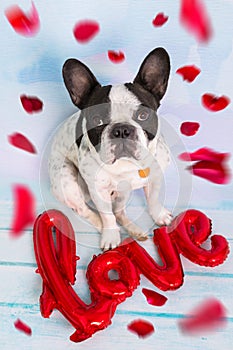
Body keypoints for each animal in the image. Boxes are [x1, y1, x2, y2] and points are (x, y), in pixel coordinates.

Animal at [49, 47, 172, 250]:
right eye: (97, 120)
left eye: (143, 115)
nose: (121, 130)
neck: (125, 165)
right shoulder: (98, 191)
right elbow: (107, 216)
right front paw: (110, 236)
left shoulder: (155, 177)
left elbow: (153, 199)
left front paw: (159, 215)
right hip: (67, 181)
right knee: (86, 210)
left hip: (122, 192)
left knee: (119, 211)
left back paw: (135, 231)